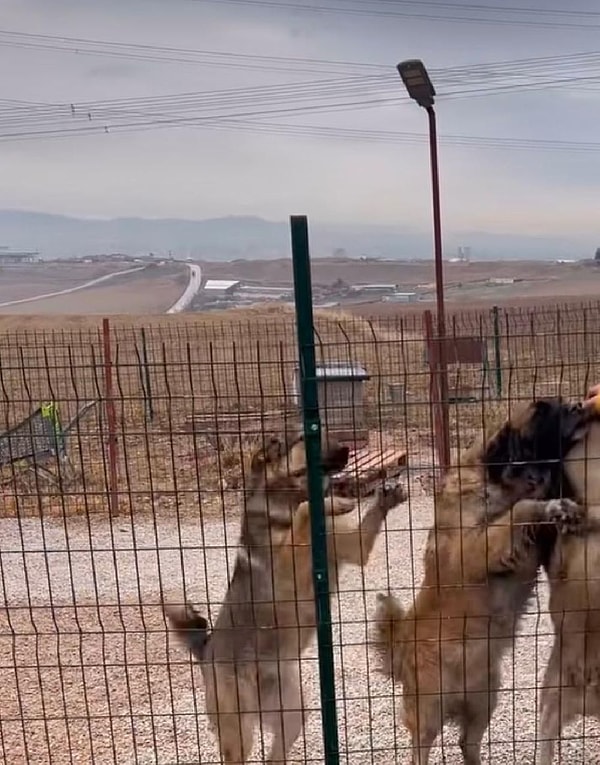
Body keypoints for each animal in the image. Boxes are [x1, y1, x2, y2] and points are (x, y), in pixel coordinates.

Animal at [166, 430, 406, 764]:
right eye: (304, 437)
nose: (347, 449)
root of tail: (206, 651)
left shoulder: (354, 547)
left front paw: (383, 498)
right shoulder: (287, 567)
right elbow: (305, 512)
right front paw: (336, 502)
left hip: (291, 712)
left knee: (274, 755)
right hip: (239, 730)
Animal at [372, 400, 588, 764]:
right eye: (544, 412)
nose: (577, 405)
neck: (496, 482)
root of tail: (402, 644)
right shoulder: (472, 548)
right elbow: (521, 508)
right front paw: (548, 505)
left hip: (487, 696)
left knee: (466, 743)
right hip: (429, 708)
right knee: (420, 747)